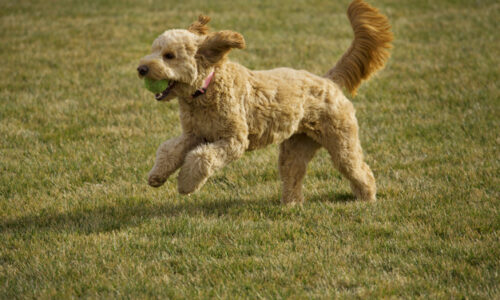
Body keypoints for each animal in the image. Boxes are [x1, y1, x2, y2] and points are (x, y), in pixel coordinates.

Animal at [138, 0, 394, 204]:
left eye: (169, 56)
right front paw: (157, 176)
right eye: (154, 50)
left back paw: (367, 198)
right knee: (293, 175)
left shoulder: (234, 140)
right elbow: (169, 150)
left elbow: (201, 158)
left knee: (358, 169)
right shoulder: (194, 134)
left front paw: (185, 184)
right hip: (296, 147)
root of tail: (329, 80)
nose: (141, 69)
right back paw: (291, 204)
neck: (205, 89)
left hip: (341, 140)